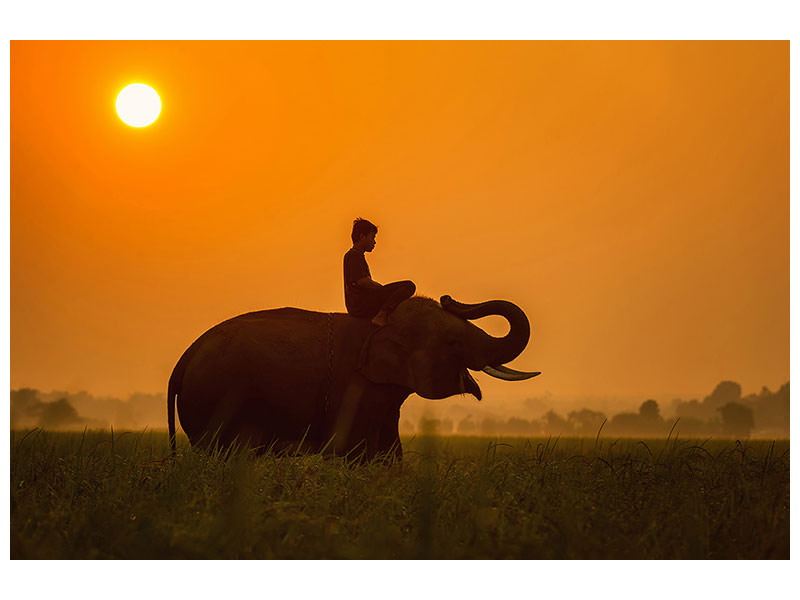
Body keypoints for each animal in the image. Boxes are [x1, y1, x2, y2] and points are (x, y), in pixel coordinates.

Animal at [167, 295, 540, 461]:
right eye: (453, 342)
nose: (449, 298)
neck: (382, 322)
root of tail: (182, 361)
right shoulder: (354, 387)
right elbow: (355, 451)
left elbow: (390, 453)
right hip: (216, 401)